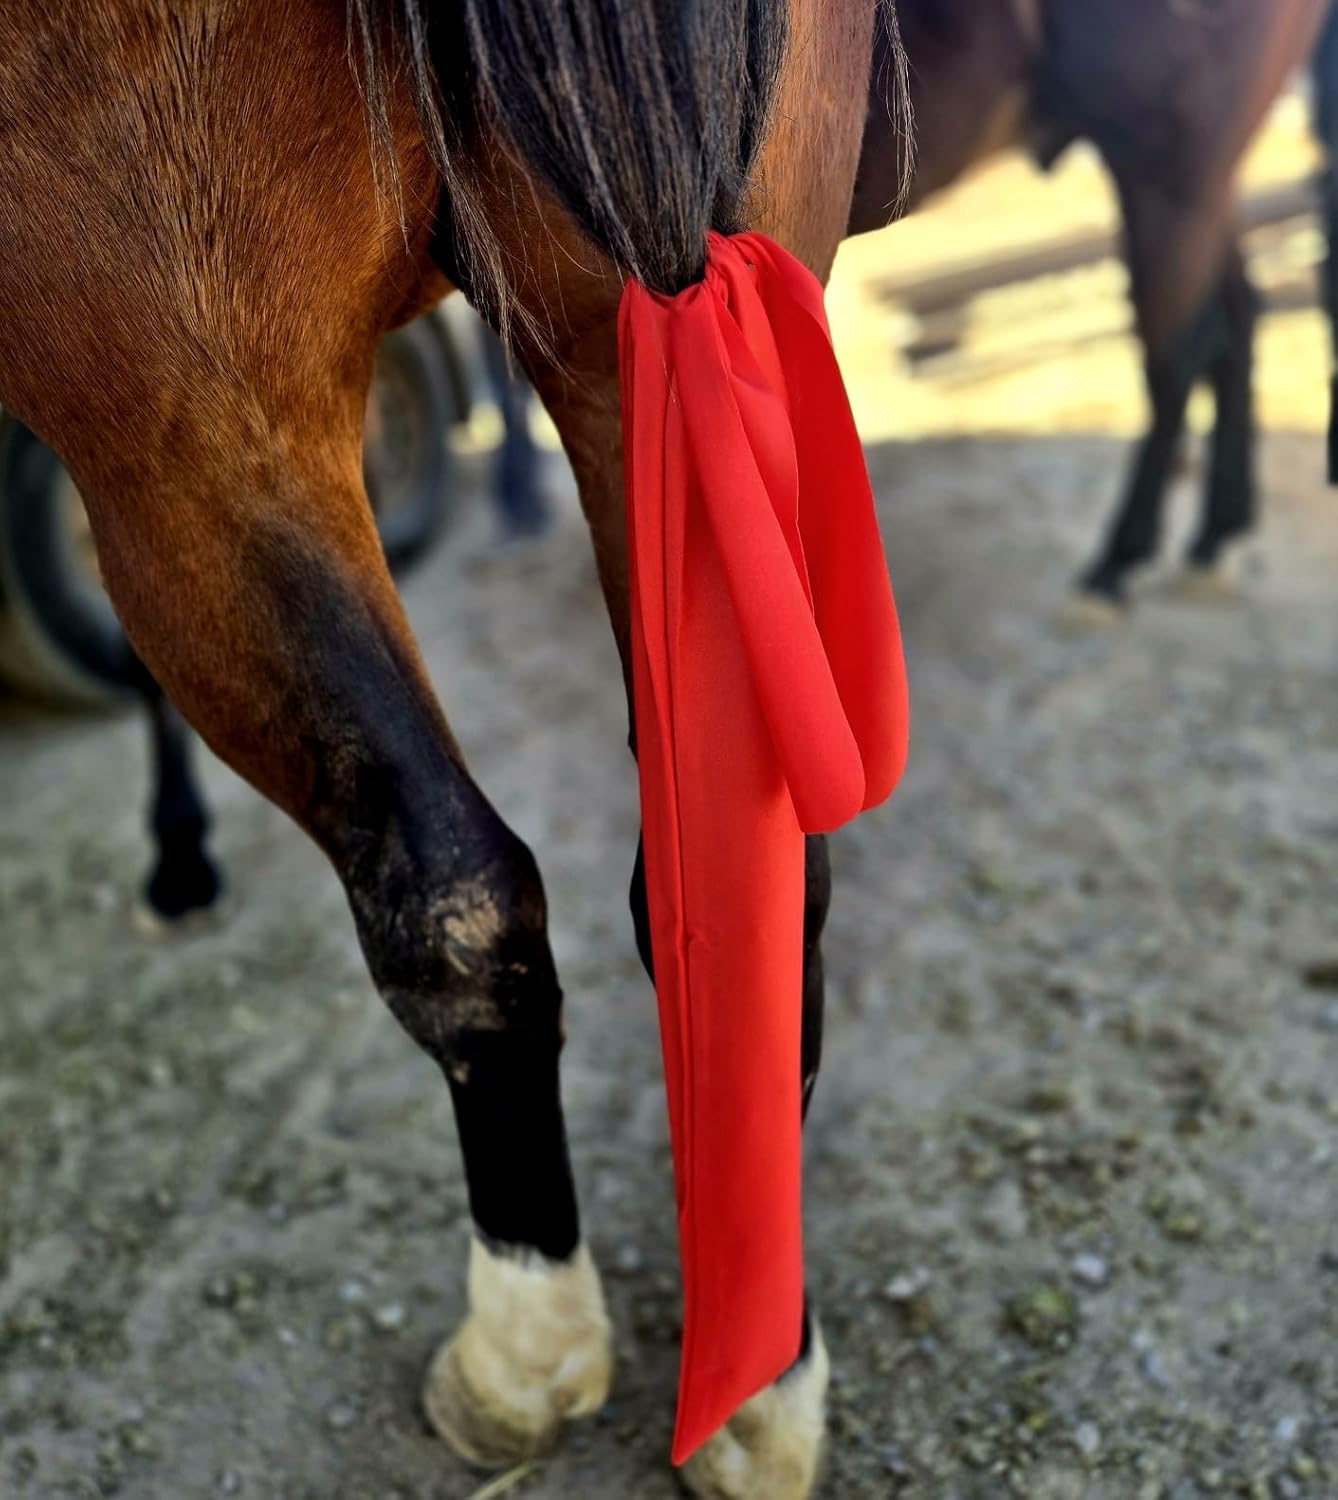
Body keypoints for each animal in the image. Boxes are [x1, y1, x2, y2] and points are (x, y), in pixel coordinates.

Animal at [0, 2, 895, 1495]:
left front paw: (177, 859)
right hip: (662, 293)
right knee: (748, 875)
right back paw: (763, 1376)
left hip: (184, 397)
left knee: (450, 886)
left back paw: (524, 1341)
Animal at [849, 0, 1330, 611]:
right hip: (1205, 181)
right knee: (1236, 319)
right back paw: (1214, 533)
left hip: (1168, 170)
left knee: (1178, 357)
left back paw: (1117, 561)